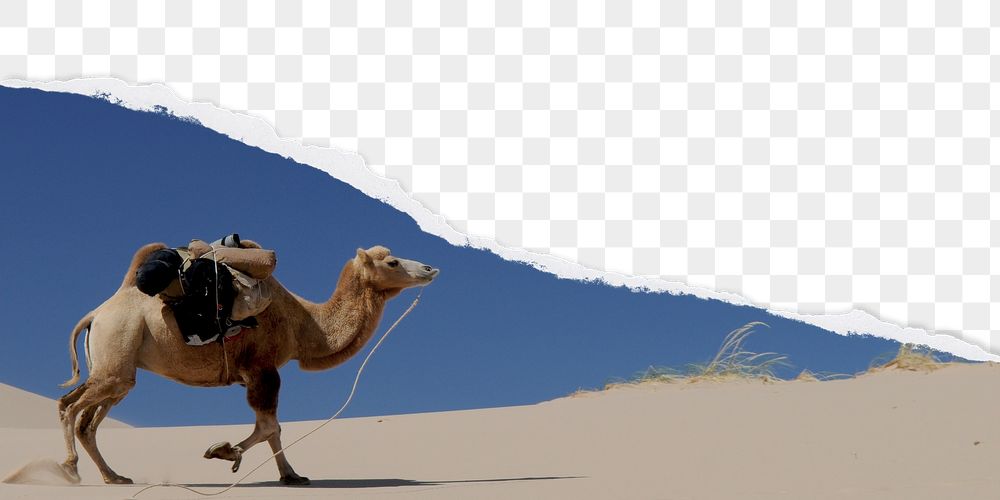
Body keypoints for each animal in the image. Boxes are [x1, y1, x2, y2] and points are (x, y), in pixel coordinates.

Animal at [57, 243, 439, 485]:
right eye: (391, 263)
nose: (430, 268)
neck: (304, 324)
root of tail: (96, 314)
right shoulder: (262, 369)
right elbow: (269, 427)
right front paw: (224, 452)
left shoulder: (259, 373)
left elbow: (274, 429)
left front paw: (292, 476)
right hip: (116, 350)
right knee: (70, 407)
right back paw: (71, 469)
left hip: (118, 370)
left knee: (84, 418)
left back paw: (113, 476)